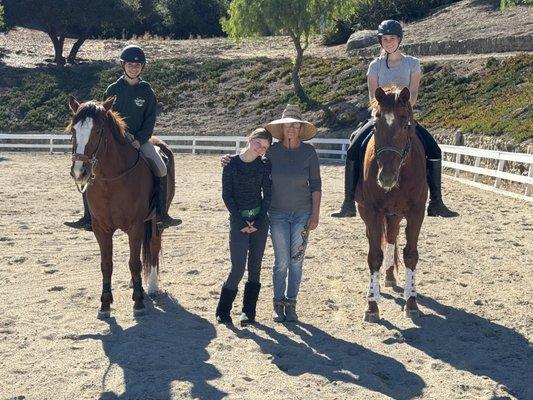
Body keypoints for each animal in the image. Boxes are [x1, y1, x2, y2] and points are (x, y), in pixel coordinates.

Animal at [67, 95, 176, 318]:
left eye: (98, 130)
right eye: (73, 130)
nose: (79, 172)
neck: (112, 180)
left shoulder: (135, 227)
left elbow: (134, 262)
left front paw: (139, 302)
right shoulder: (101, 229)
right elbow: (106, 264)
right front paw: (105, 305)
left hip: (155, 220)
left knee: (153, 244)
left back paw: (151, 287)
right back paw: (136, 284)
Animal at [356, 86, 426, 322]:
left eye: (406, 125)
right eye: (375, 125)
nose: (386, 177)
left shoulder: (416, 212)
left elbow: (411, 255)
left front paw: (411, 302)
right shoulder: (372, 212)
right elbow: (374, 256)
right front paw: (371, 305)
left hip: (395, 215)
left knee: (391, 238)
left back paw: (389, 277)